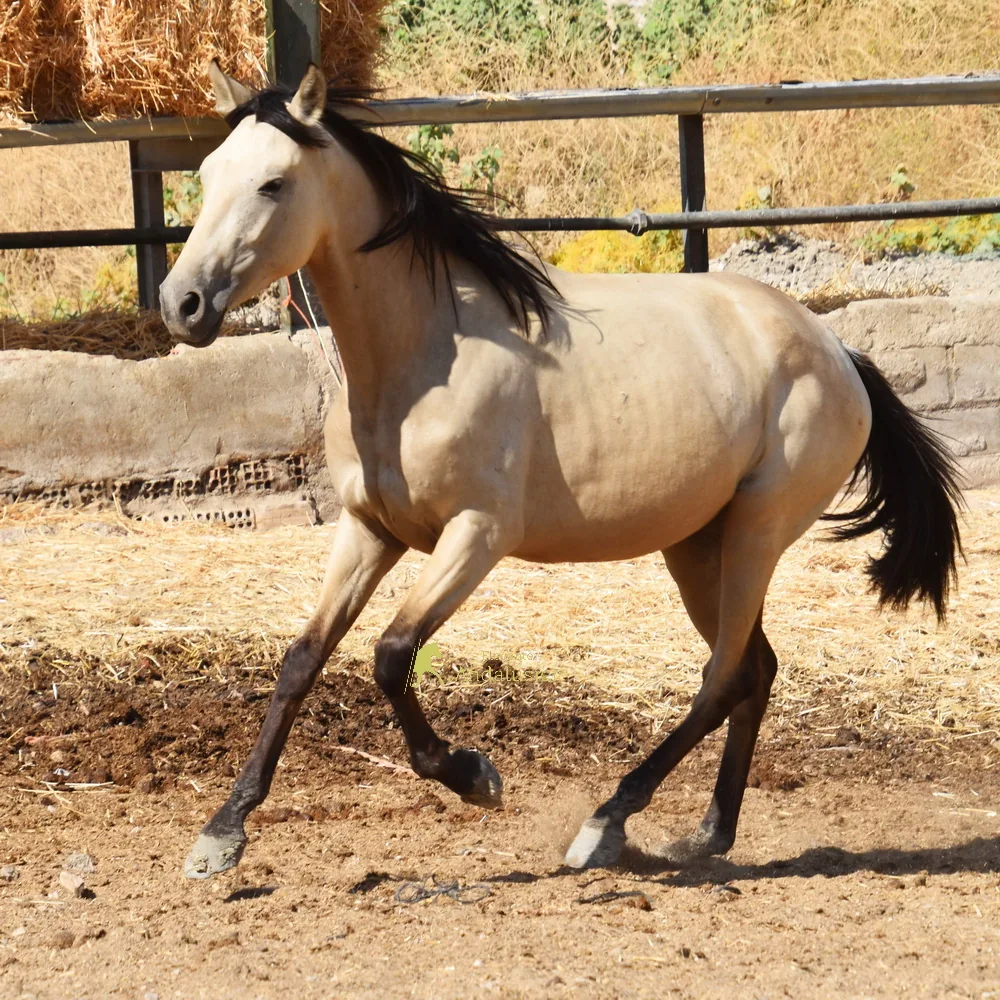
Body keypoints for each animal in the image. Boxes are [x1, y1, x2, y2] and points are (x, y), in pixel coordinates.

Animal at [160, 62, 962, 879]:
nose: (179, 303)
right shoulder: (368, 531)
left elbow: (391, 654)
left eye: (273, 184)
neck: (426, 355)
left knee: (722, 678)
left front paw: (475, 777)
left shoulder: (477, 535)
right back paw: (708, 834)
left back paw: (607, 823)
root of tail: (841, 354)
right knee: (754, 671)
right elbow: (301, 660)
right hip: (697, 544)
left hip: (756, 532)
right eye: (206, 174)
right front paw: (222, 833)